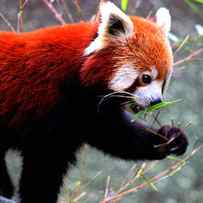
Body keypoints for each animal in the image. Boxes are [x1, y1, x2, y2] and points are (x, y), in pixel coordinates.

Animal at [0, 1, 188, 203]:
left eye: (164, 81)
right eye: (146, 78)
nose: (156, 101)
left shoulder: (87, 110)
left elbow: (117, 135)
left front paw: (169, 138)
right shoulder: (47, 103)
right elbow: (44, 161)